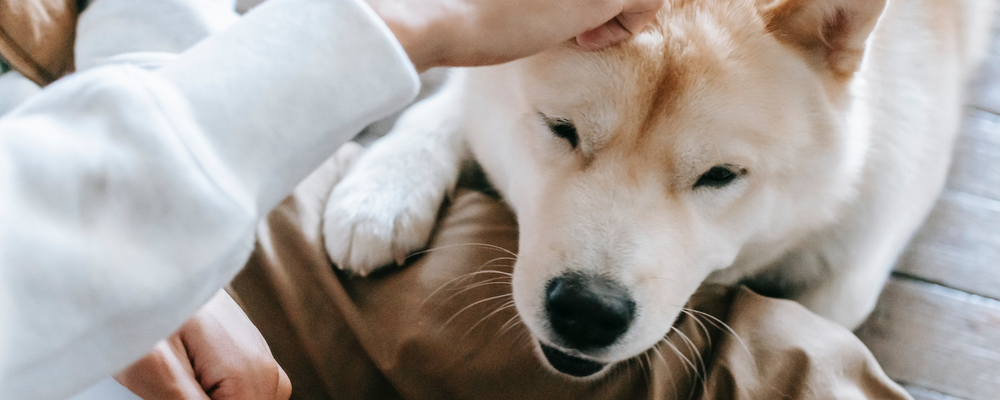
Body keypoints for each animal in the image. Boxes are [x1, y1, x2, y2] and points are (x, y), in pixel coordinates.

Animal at [318, 0, 992, 378]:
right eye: (560, 129)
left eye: (720, 176)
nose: (588, 311)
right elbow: (452, 102)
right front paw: (385, 187)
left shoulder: (847, 274)